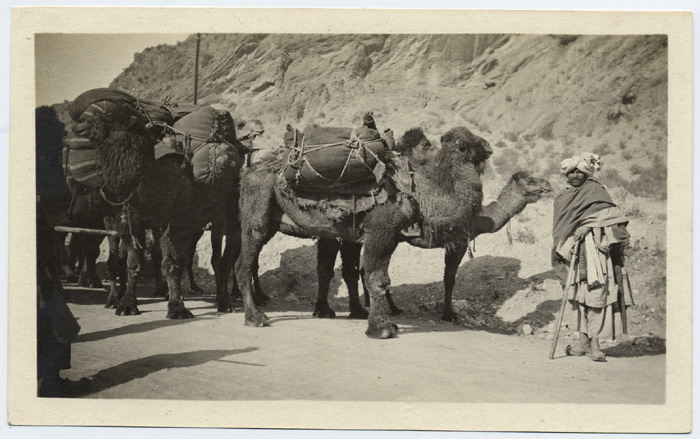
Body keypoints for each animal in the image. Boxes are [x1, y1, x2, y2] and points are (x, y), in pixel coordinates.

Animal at [235, 125, 492, 338]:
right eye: (469, 143)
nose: (489, 147)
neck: (419, 191)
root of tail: (250, 170)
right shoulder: (380, 230)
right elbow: (375, 278)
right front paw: (381, 328)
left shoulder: (386, 236)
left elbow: (367, 274)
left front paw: (380, 319)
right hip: (258, 200)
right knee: (245, 258)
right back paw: (255, 317)